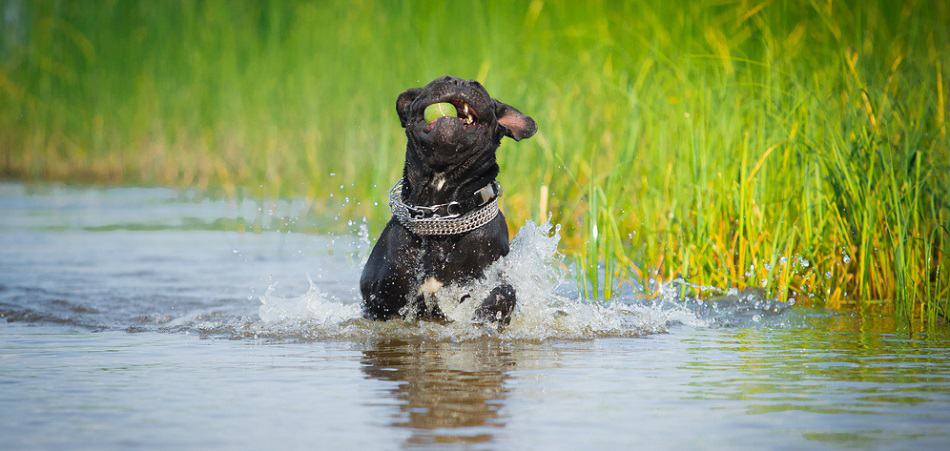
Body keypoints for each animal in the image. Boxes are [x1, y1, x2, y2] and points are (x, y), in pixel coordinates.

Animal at [360, 77, 536, 324]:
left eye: (478, 87)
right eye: (439, 80)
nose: (459, 82)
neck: (441, 213)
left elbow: (505, 290)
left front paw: (489, 312)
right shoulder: (380, 293)